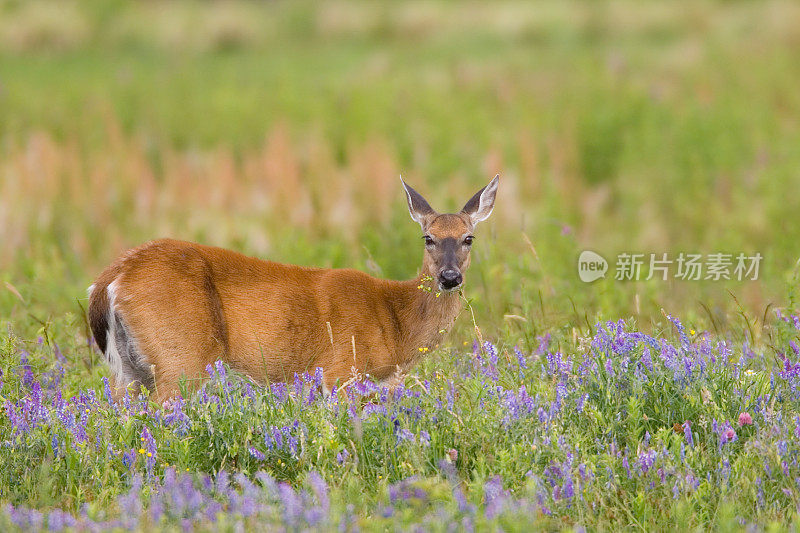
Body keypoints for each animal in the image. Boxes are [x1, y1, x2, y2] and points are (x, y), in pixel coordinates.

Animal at [89, 177, 500, 402]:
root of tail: (112, 277)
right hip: (181, 358)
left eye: (469, 238)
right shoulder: (340, 373)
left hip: (131, 370)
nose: (450, 277)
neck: (394, 320)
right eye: (428, 238)